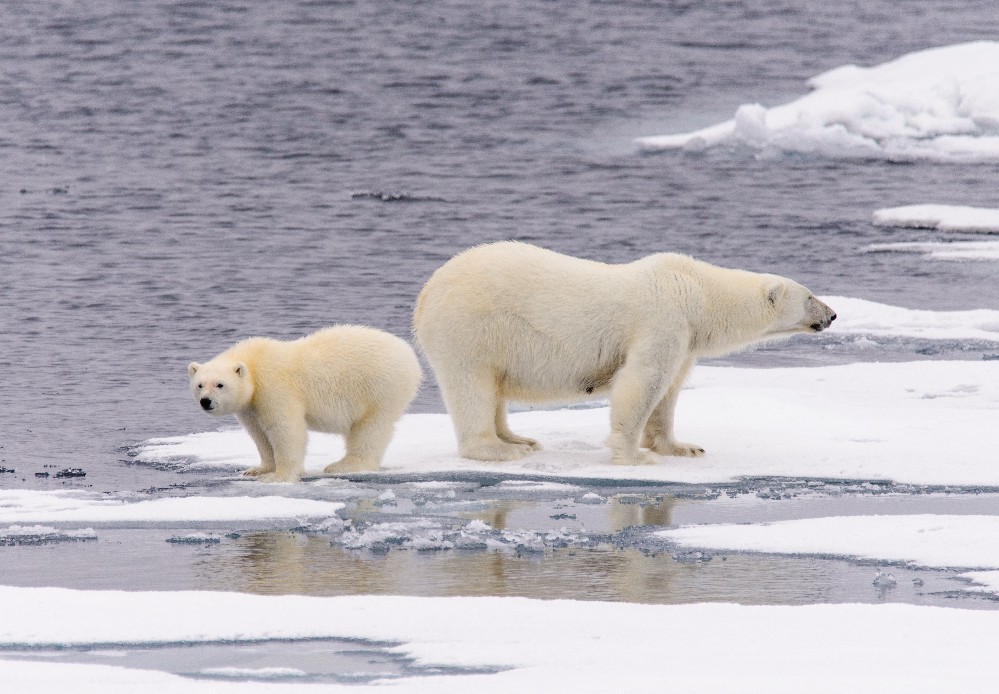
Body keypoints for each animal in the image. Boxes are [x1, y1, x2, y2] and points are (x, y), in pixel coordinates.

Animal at [188, 328, 422, 484]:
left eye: (220, 384)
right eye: (200, 385)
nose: (206, 401)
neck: (253, 362)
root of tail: (410, 356)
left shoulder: (274, 387)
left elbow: (285, 429)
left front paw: (279, 476)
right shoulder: (250, 406)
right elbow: (259, 434)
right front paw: (258, 470)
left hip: (379, 388)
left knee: (370, 428)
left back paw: (344, 465)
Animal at [412, 243, 836, 468]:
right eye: (810, 296)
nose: (832, 315)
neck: (695, 291)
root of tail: (425, 293)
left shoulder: (686, 338)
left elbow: (670, 390)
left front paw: (683, 447)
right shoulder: (662, 319)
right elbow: (643, 380)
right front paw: (635, 457)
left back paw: (521, 439)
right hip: (471, 328)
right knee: (473, 386)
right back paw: (499, 449)